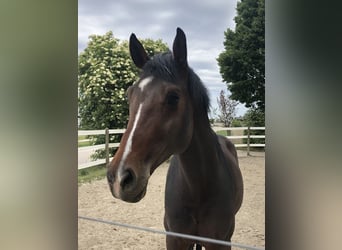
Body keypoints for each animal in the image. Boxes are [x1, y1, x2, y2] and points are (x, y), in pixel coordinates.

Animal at [107, 27, 243, 250]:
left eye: (173, 97)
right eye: (129, 94)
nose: (119, 178)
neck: (198, 189)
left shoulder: (221, 242)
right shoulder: (174, 239)